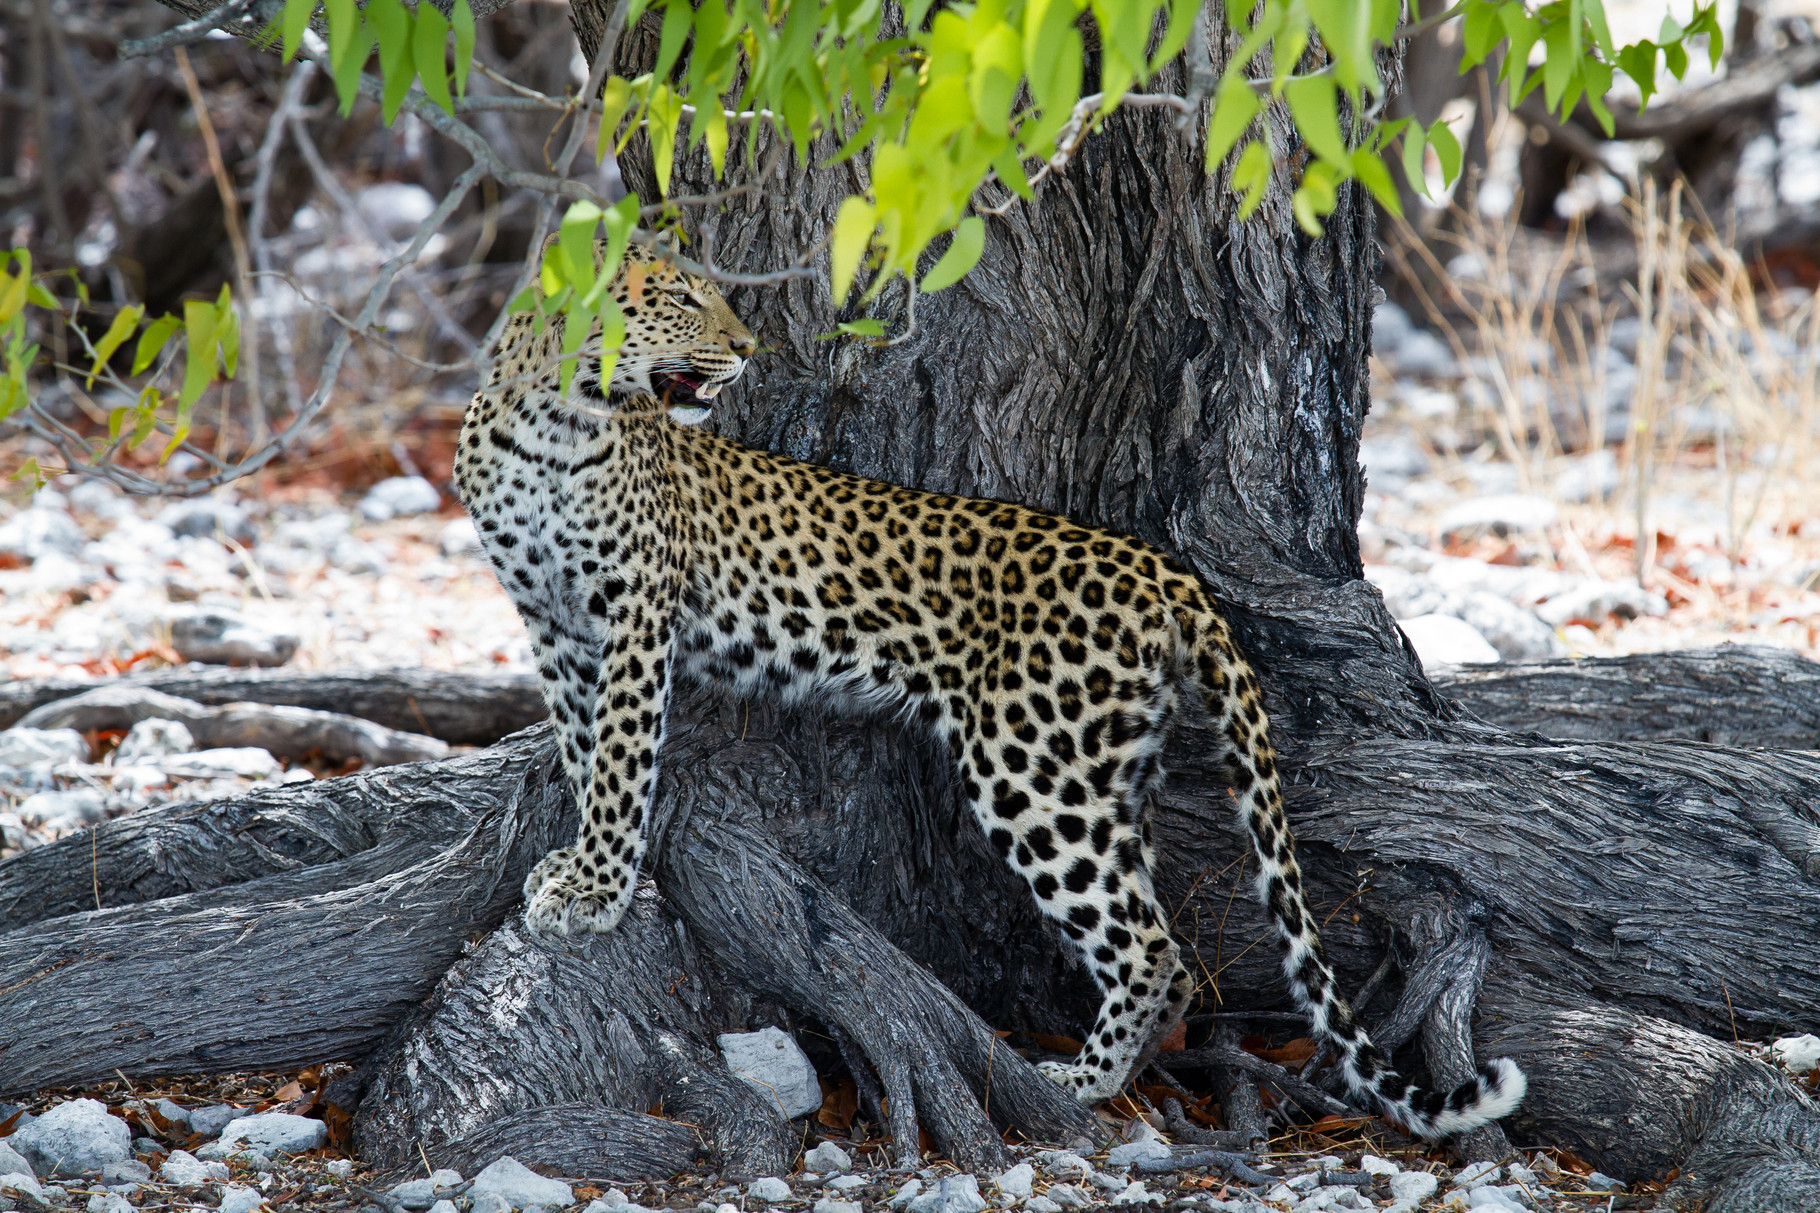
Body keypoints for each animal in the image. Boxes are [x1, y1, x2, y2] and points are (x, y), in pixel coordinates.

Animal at [451, 247, 1521, 1136]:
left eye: (711, 296)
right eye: (678, 299)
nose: (748, 350)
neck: (551, 419)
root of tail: (1163, 569)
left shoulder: (635, 612)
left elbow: (623, 756)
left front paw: (596, 886)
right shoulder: (553, 622)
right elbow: (587, 744)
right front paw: (582, 865)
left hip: (1031, 769)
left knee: (1147, 945)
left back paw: (1074, 1083)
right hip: (1105, 774)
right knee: (1162, 939)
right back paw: (1128, 1066)